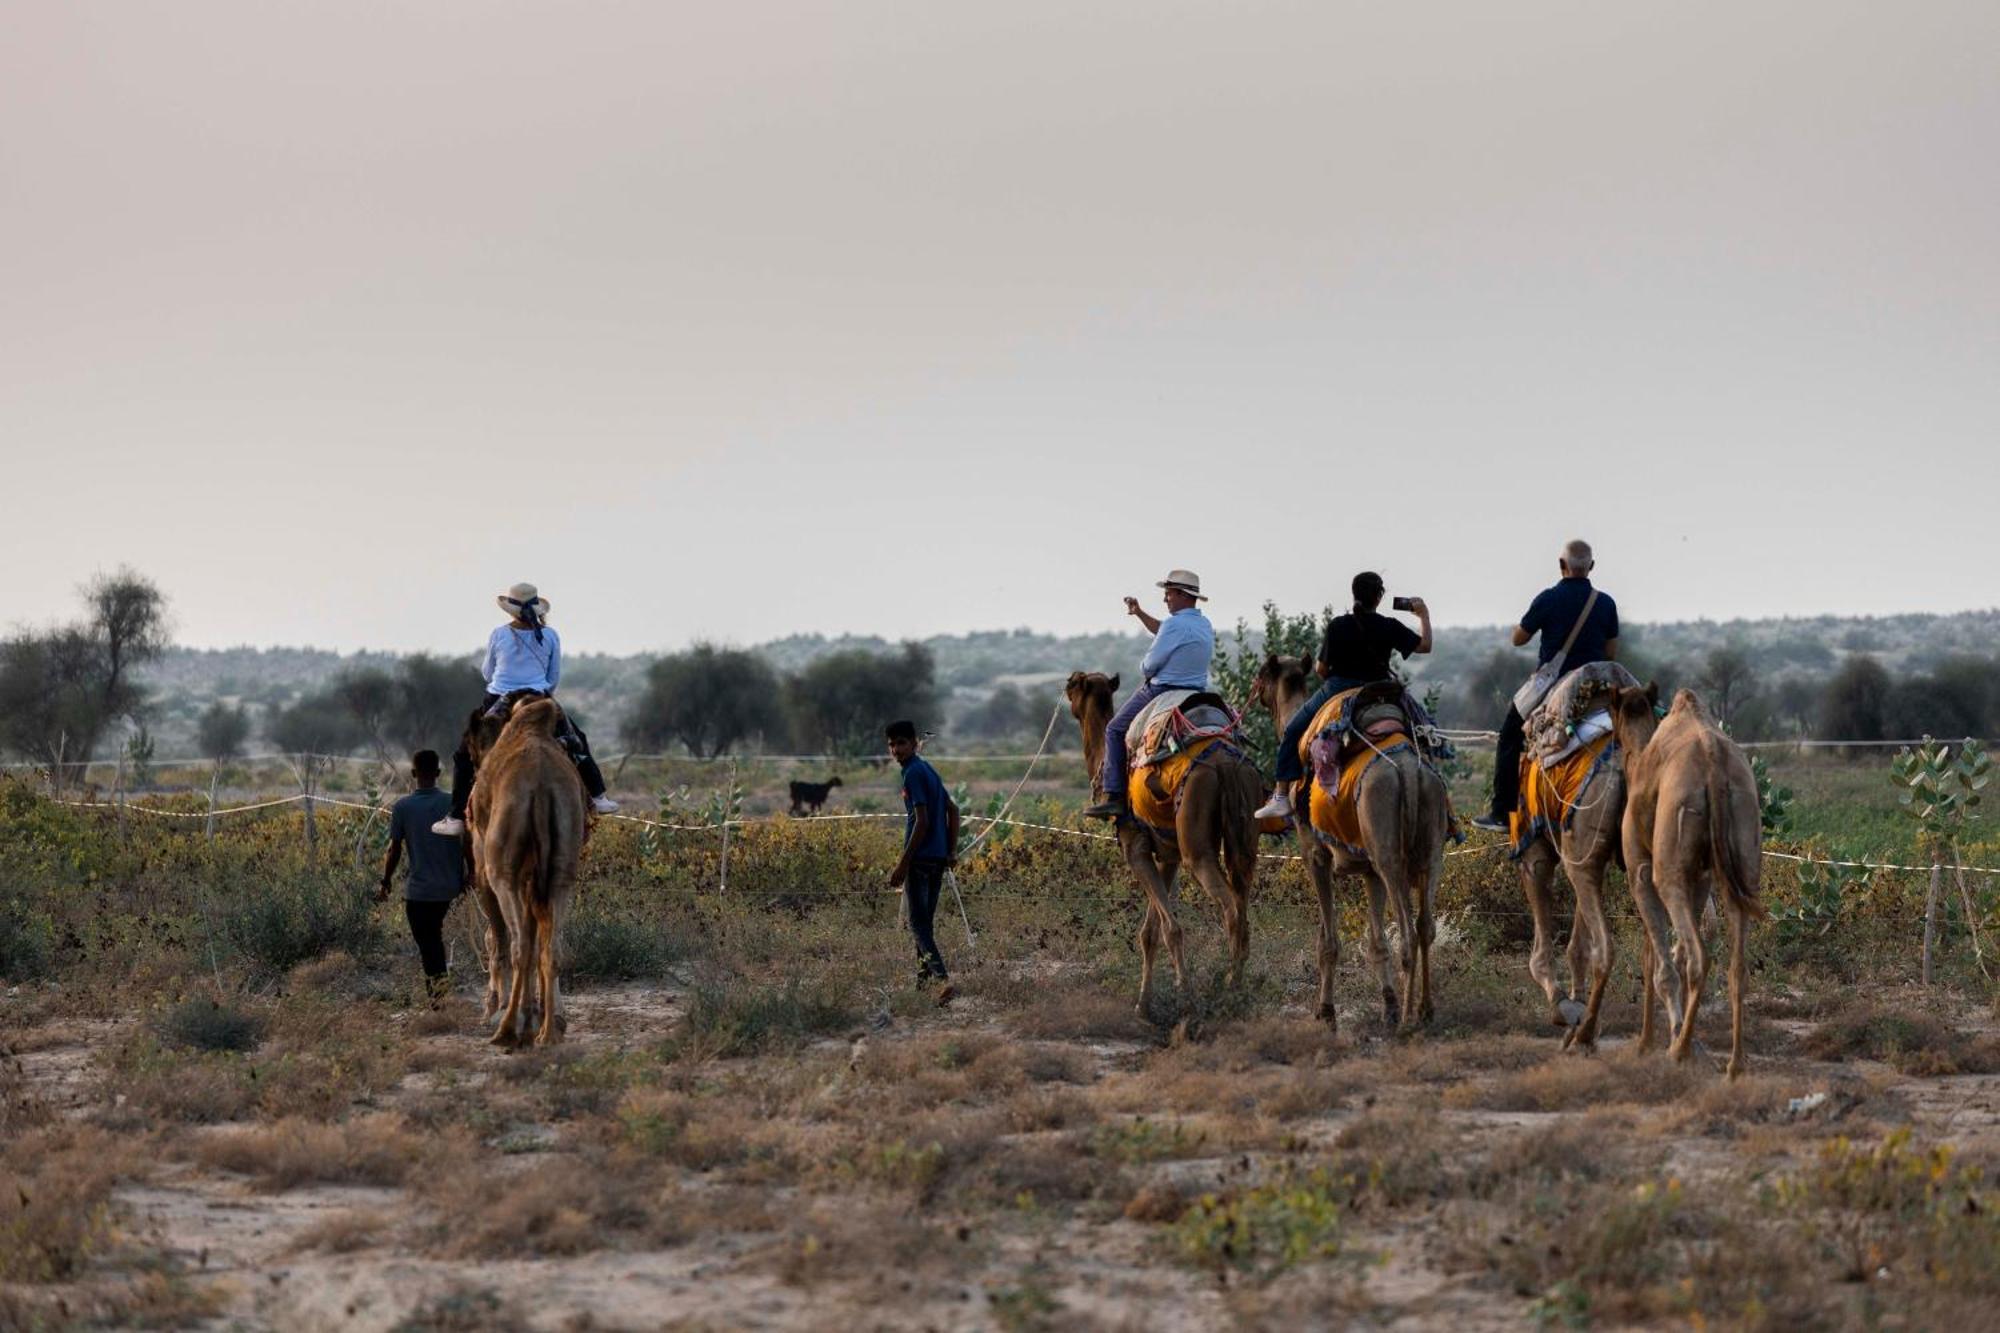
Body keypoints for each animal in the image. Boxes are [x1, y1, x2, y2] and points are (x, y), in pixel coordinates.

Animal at [464, 688, 588, 1040]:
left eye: (470, 745)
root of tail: (541, 786)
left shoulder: (484, 873)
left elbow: (498, 939)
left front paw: (497, 1008)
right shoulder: (535, 876)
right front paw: (540, 1013)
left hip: (501, 871)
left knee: (519, 943)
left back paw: (507, 1028)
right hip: (562, 866)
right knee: (550, 945)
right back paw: (548, 1031)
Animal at [1072, 668, 1256, 1020]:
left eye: (1074, 685)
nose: (1067, 682)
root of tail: (1224, 760)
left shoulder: (1135, 848)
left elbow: (1171, 929)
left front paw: (1185, 997)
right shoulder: (1166, 857)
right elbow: (1150, 932)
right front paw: (1144, 1004)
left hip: (1196, 845)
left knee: (1230, 908)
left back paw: (1230, 988)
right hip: (1243, 836)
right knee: (1243, 901)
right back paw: (1239, 987)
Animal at [1256, 652, 1448, 1024]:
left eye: (1261, 675)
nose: (1255, 691)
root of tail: (1409, 773)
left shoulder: (1314, 852)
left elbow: (1328, 941)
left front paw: (1326, 1010)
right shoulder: (1367, 866)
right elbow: (1376, 941)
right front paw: (1387, 1003)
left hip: (1389, 851)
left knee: (1407, 933)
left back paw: (1408, 1020)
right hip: (1431, 846)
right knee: (1425, 925)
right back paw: (1425, 1009)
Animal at [1608, 680, 1768, 1072]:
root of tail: (1713, 763)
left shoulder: (1640, 869)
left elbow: (1659, 961)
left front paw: (1651, 1041)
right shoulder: (1701, 878)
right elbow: (1666, 953)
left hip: (1669, 871)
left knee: (1698, 958)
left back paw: (1679, 1050)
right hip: (1742, 862)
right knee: (1737, 966)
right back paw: (1735, 1065)